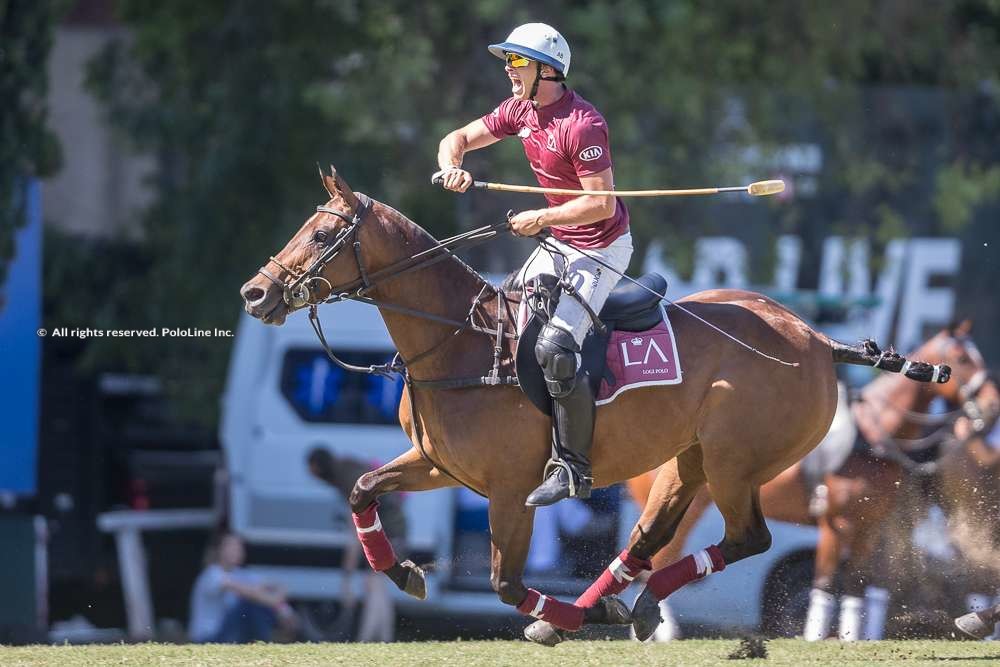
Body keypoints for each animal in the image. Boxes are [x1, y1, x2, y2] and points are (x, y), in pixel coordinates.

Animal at [236, 167, 944, 640]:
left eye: (322, 233)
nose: (254, 293)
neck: (460, 342)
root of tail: (818, 340)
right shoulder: (439, 464)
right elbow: (362, 488)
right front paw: (404, 571)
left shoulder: (509, 487)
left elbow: (505, 582)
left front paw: (573, 612)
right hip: (687, 461)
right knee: (649, 536)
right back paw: (610, 605)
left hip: (737, 462)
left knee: (750, 538)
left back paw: (622, 607)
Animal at [620, 324, 996, 640]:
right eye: (963, 357)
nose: (992, 406)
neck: (874, 437)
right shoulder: (836, 524)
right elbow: (825, 584)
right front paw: (814, 637)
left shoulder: (867, 527)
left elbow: (854, 586)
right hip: (694, 503)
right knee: (661, 555)